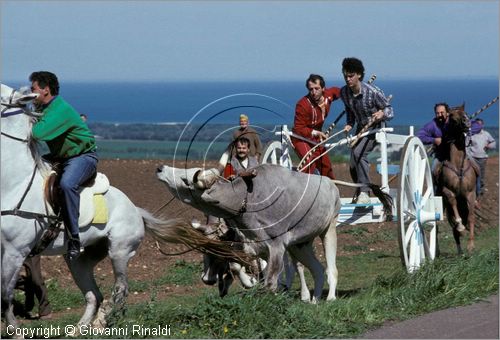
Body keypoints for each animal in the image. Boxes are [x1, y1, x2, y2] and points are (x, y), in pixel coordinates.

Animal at [0, 84, 167, 332]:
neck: (13, 183)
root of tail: (136, 210)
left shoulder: (16, 250)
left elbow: (5, 294)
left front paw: (15, 332)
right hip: (78, 260)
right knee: (93, 294)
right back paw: (80, 328)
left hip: (119, 252)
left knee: (119, 290)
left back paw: (100, 323)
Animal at [440, 105, 478, 254]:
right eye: (452, 117)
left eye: (465, 113)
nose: (467, 123)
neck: (457, 164)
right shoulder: (447, 191)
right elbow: (452, 201)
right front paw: (460, 226)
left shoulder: (470, 193)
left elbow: (471, 217)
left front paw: (471, 245)